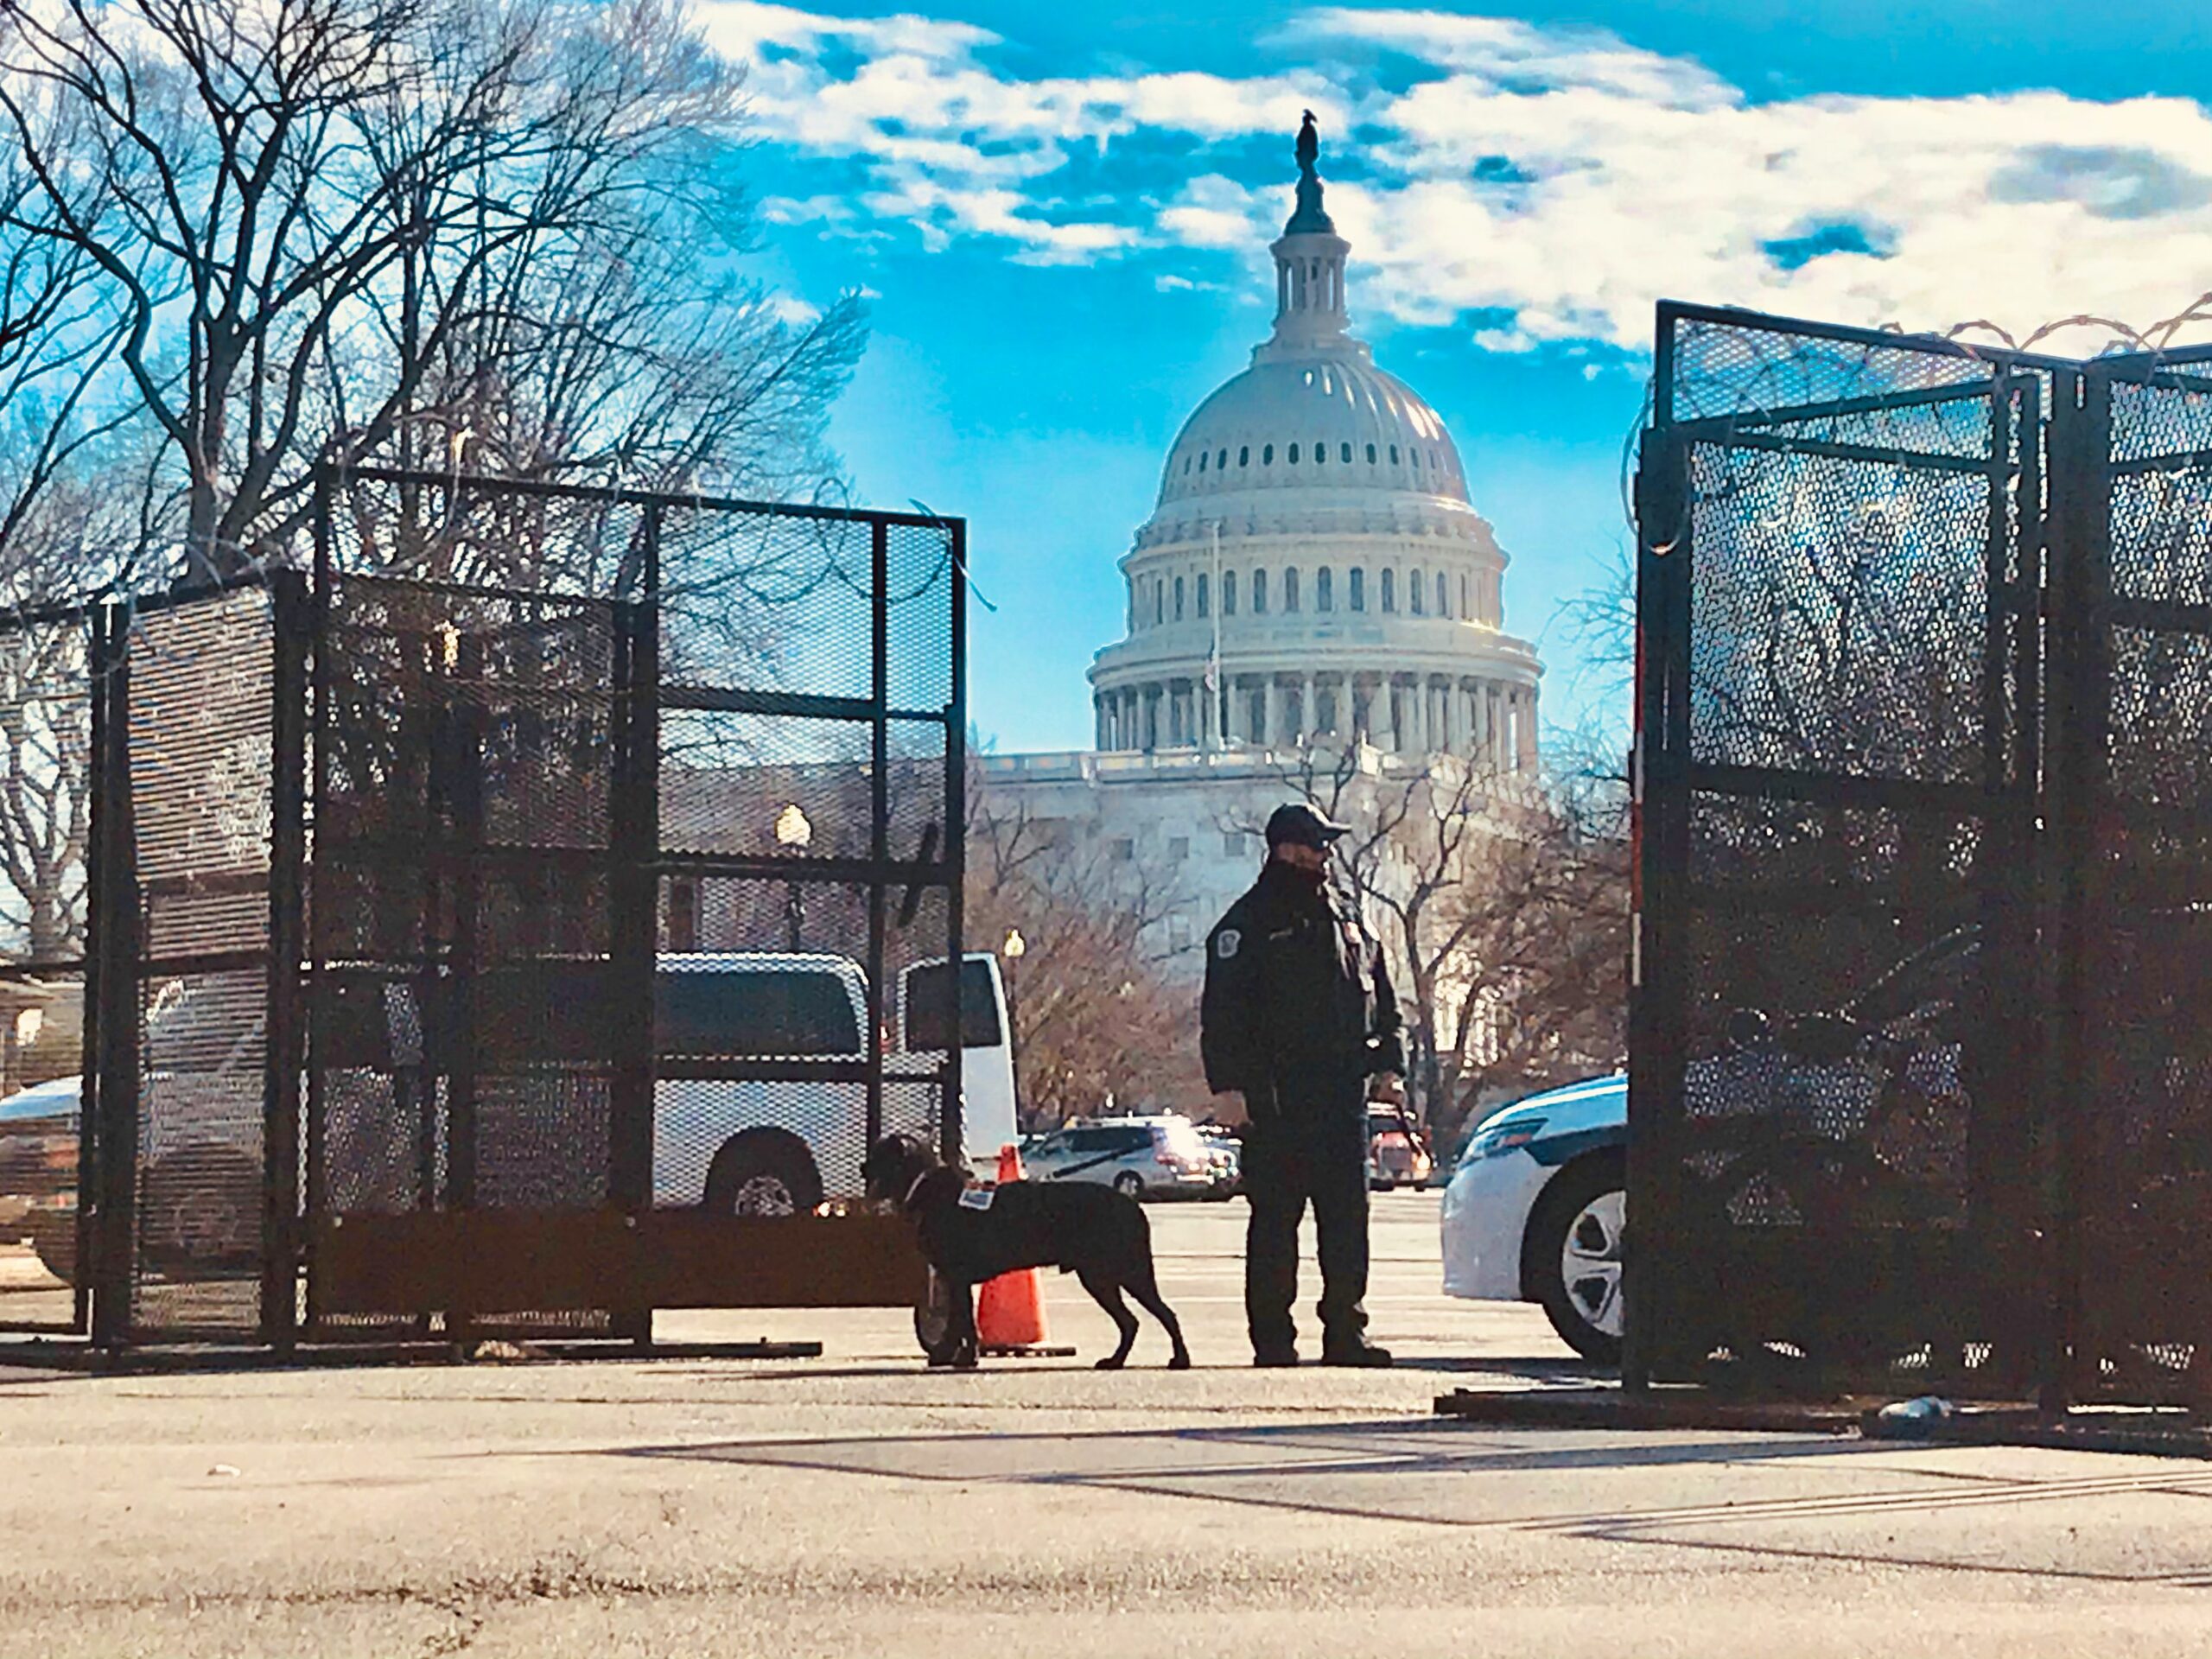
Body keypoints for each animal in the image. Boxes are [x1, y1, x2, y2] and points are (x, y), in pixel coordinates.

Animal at [858, 1132, 1194, 1380]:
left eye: (880, 1154)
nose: (862, 1166)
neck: (928, 1187)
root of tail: (1132, 1205)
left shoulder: (956, 1276)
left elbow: (960, 1322)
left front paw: (956, 1356)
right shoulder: (956, 1280)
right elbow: (963, 1322)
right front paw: (961, 1356)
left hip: (1126, 1271)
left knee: (1164, 1314)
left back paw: (1179, 1359)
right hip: (1099, 1277)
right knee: (1131, 1322)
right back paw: (1115, 1361)